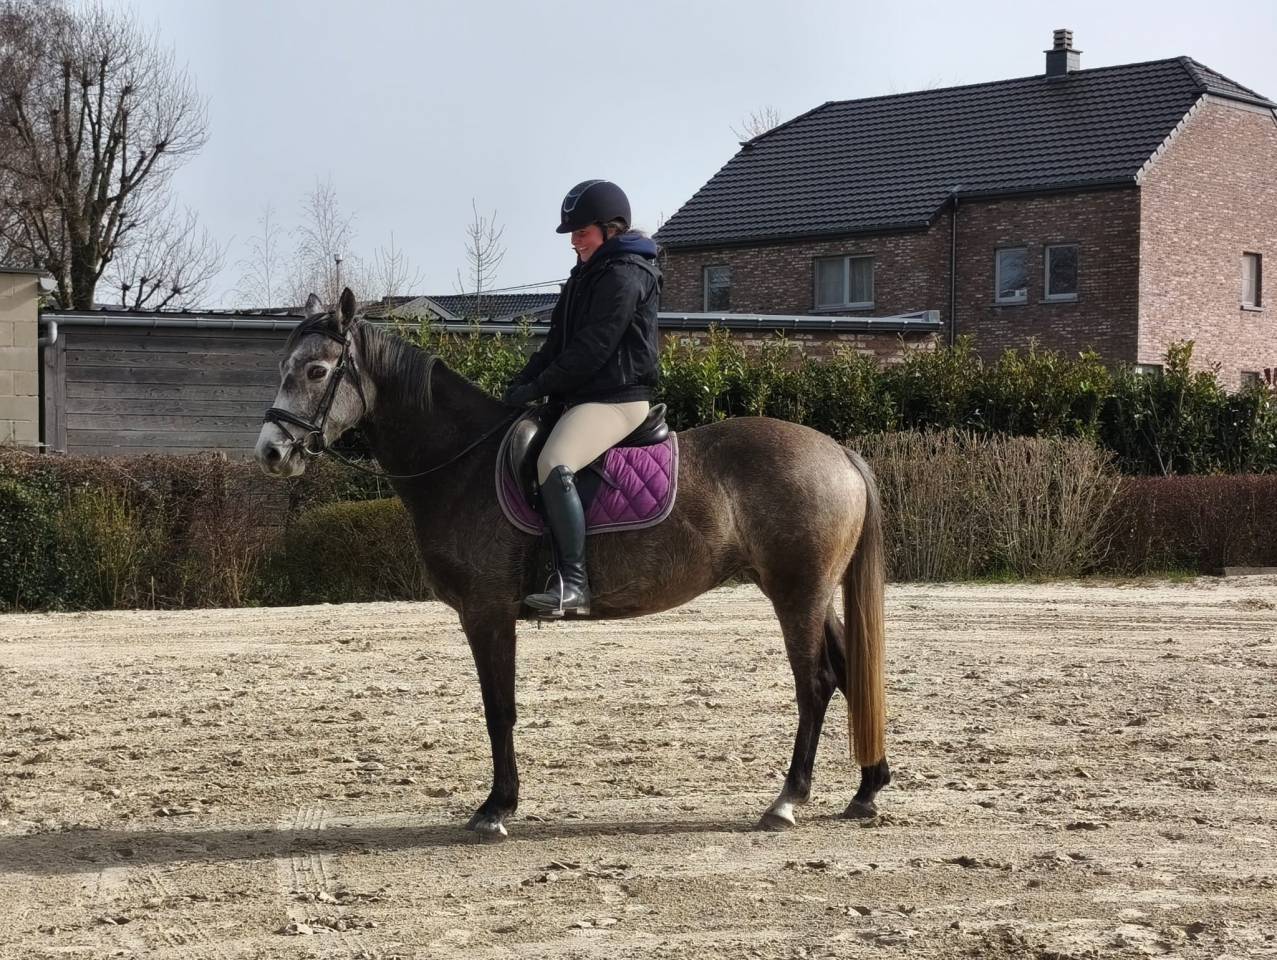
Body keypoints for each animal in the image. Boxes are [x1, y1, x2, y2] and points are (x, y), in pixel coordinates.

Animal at [255, 289, 890, 841]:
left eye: (316, 372)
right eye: (283, 366)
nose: (271, 452)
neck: (462, 462)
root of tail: (838, 452)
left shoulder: (486, 612)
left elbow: (499, 708)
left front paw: (496, 808)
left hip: (796, 592)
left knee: (815, 683)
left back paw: (787, 800)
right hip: (812, 592)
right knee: (847, 671)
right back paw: (866, 790)